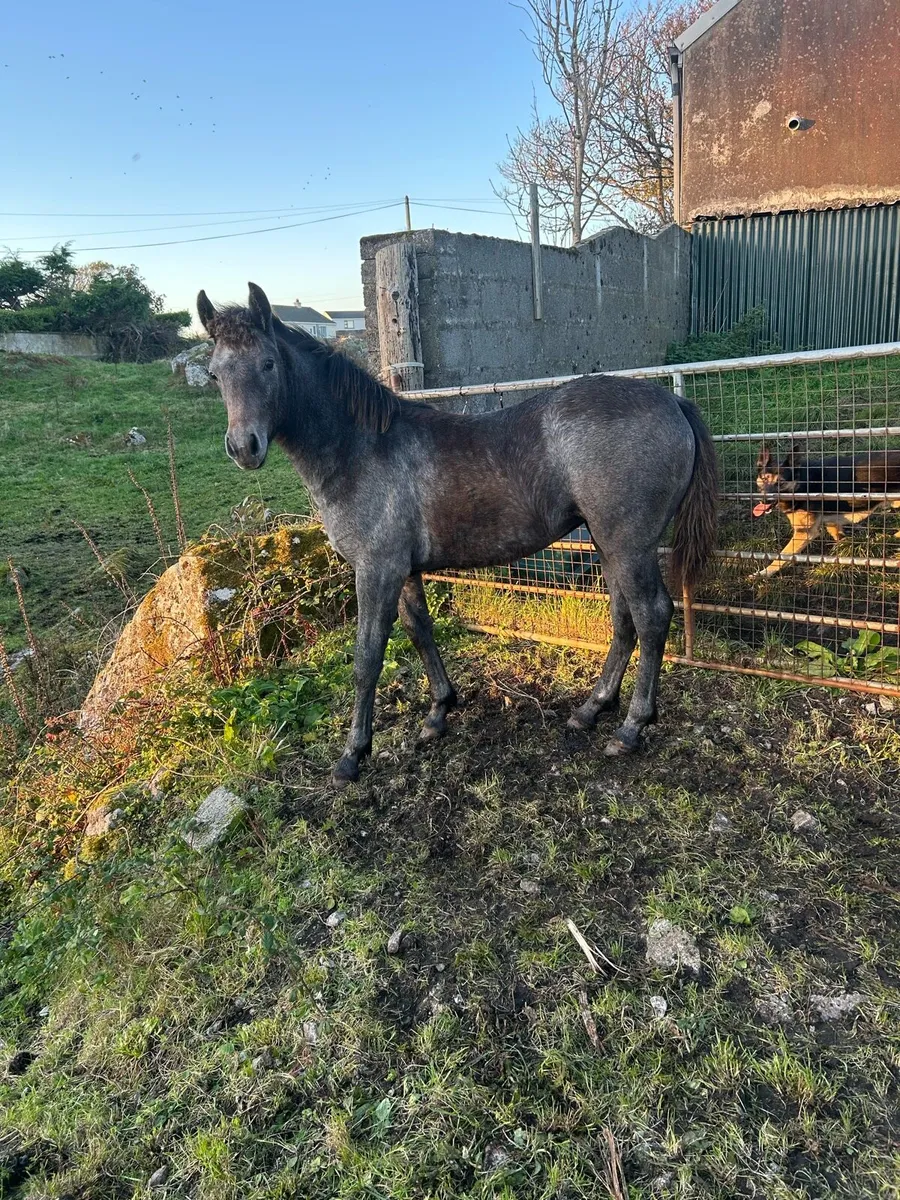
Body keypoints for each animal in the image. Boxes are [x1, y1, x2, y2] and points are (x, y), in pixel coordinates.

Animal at [197, 283, 718, 786]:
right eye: (215, 374)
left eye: (267, 363)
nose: (243, 447)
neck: (361, 448)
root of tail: (671, 401)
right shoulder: (403, 571)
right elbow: (419, 631)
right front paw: (438, 712)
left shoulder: (376, 571)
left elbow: (367, 657)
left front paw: (352, 755)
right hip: (608, 545)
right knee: (624, 620)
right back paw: (591, 709)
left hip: (629, 545)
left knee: (651, 616)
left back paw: (631, 728)